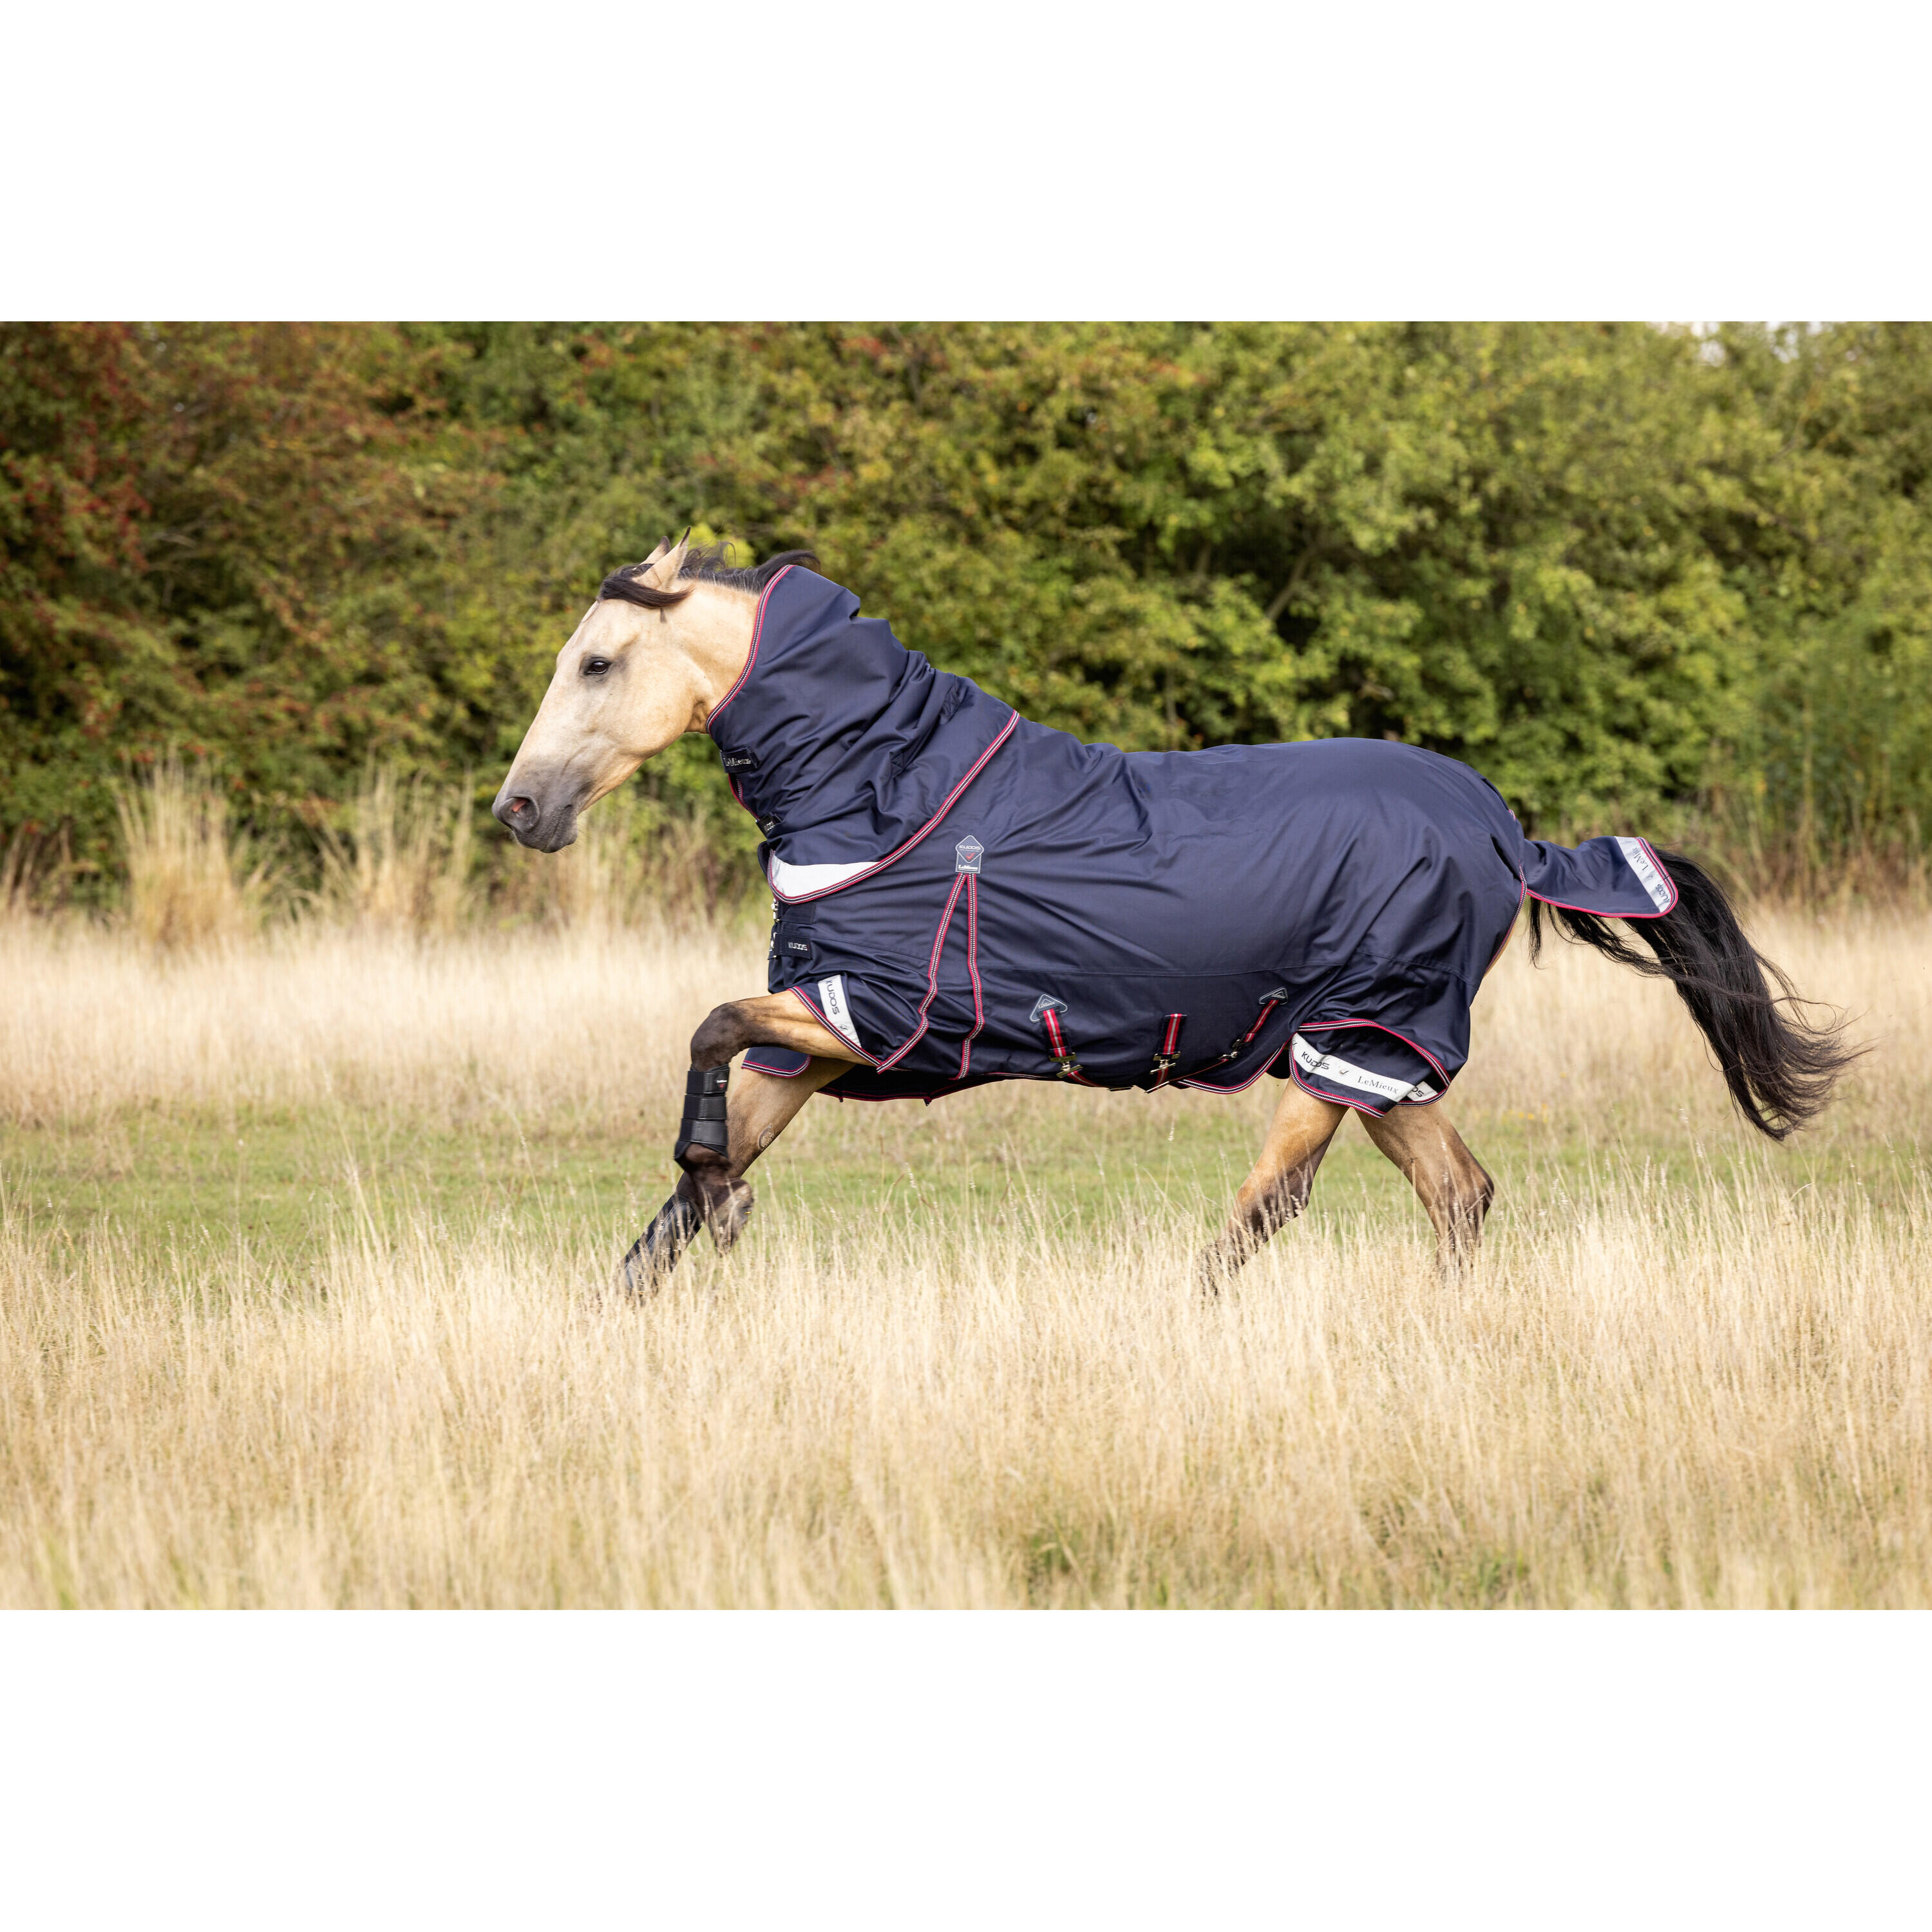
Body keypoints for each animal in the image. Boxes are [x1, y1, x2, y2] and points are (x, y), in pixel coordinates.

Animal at [492, 536, 1854, 1294]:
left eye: (598, 663)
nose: (520, 809)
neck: (894, 794)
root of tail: (1510, 835)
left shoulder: (875, 1016)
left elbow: (707, 1037)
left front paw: (724, 1199)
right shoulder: (822, 1032)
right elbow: (680, 1191)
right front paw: (672, 1255)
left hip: (1354, 1038)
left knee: (1270, 1208)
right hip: (1382, 1053)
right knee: (1458, 1196)